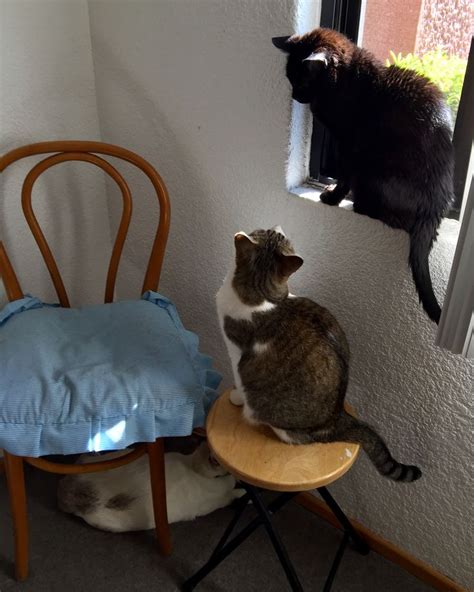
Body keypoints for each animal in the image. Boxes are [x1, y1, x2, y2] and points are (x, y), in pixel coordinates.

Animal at [217, 229, 420, 484]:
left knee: (296, 437)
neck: (261, 295)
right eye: (272, 233)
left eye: (264, 232)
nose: (280, 228)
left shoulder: (235, 351)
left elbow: (238, 381)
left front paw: (235, 397)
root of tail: (338, 417)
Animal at [272, 27, 454, 324]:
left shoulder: (348, 144)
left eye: (303, 80)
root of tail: (436, 207)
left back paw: (358, 203)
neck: (350, 81)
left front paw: (332, 197)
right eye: (290, 79)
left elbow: (345, 175)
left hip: (376, 170)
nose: (296, 96)